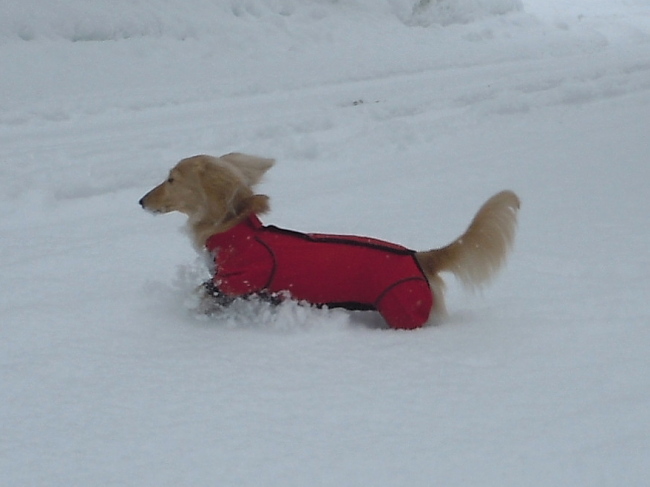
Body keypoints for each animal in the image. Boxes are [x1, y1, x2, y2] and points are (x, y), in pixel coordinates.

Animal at [139, 154, 520, 330]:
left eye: (171, 179)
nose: (141, 201)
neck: (239, 233)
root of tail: (420, 256)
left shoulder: (235, 283)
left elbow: (205, 293)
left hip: (401, 309)